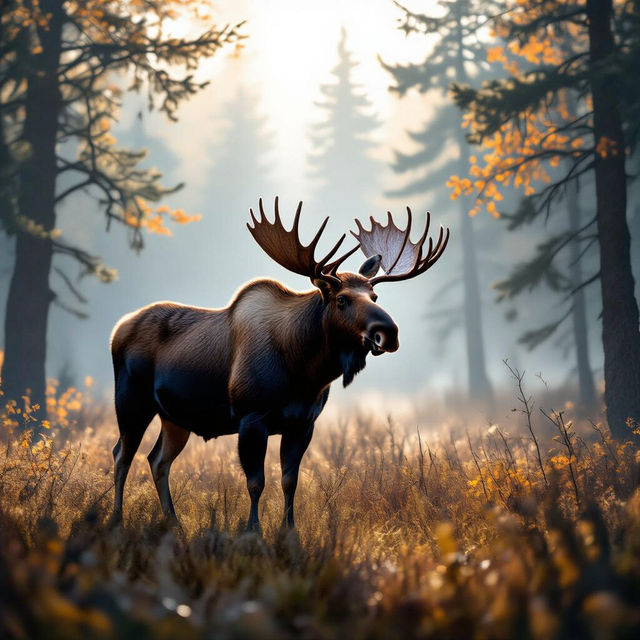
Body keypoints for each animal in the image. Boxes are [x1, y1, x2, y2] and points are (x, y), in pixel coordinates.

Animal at [110, 197, 449, 530]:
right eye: (341, 299)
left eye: (375, 296)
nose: (387, 332)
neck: (305, 372)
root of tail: (118, 328)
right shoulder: (251, 417)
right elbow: (255, 483)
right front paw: (254, 532)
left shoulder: (303, 423)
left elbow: (289, 481)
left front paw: (289, 533)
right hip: (131, 401)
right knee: (122, 455)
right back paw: (117, 521)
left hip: (175, 417)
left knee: (158, 460)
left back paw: (174, 525)